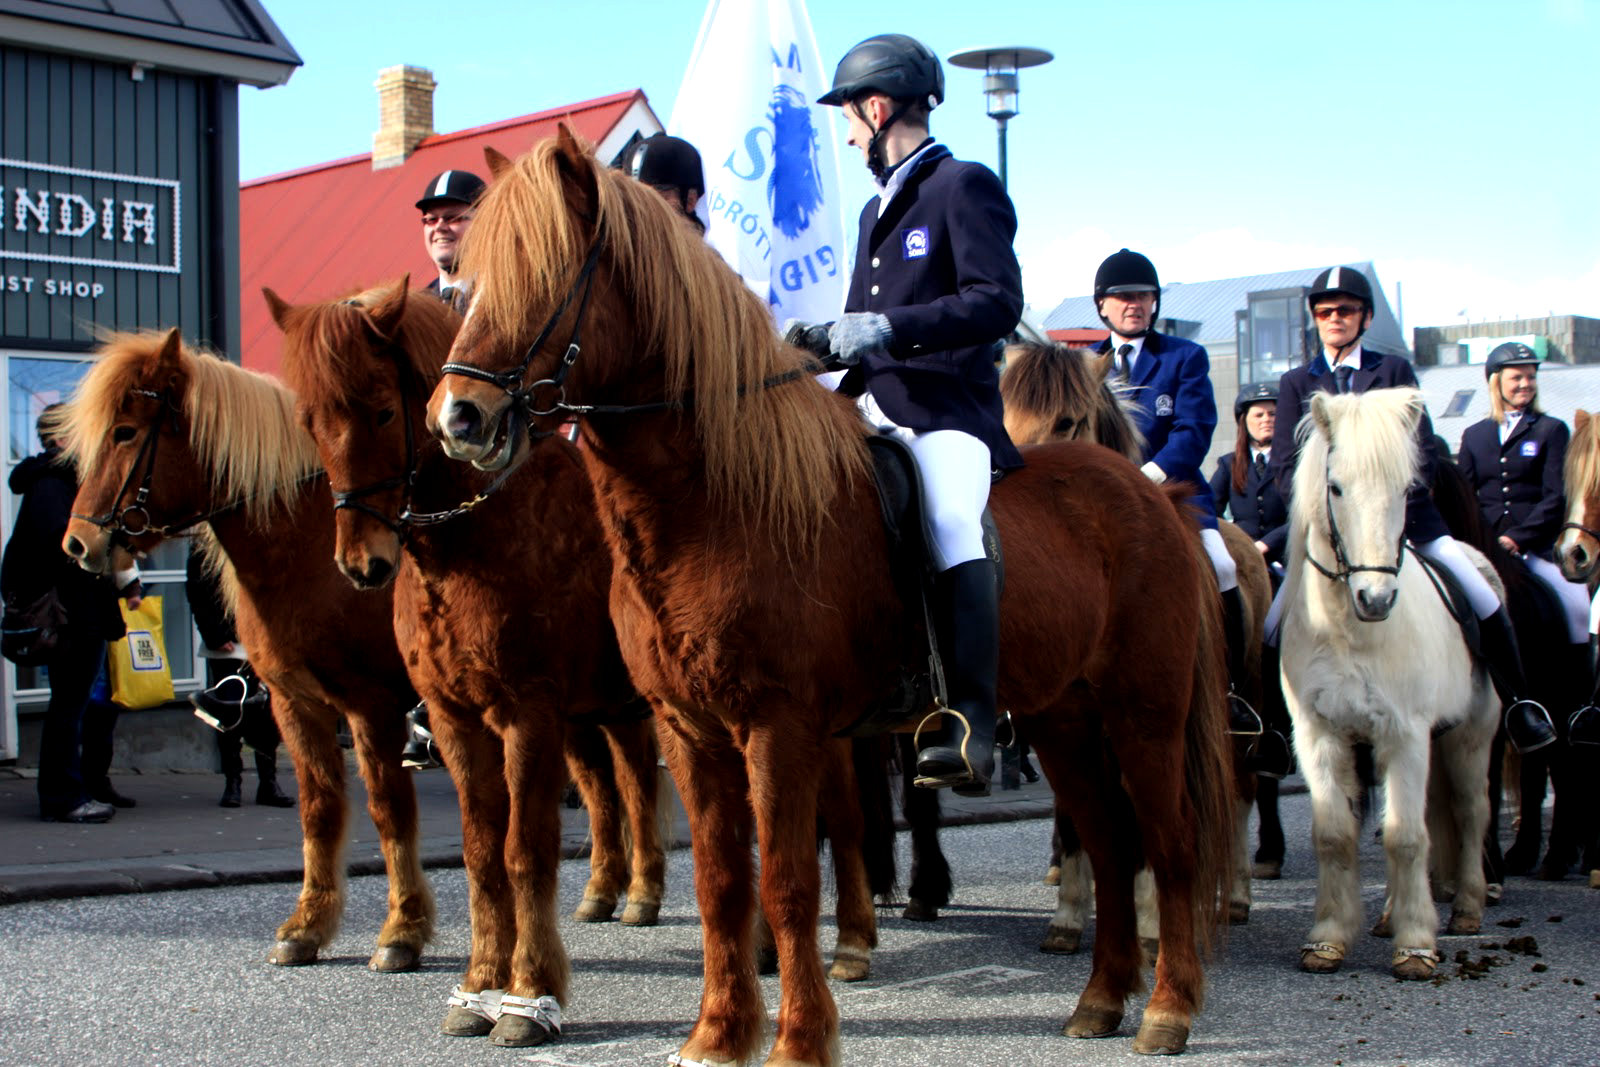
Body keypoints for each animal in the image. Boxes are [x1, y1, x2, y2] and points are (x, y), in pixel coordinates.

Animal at [59, 329, 432, 972]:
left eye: (125, 432)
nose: (78, 543)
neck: (311, 552)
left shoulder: (371, 707)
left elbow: (389, 810)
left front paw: (402, 930)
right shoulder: (295, 704)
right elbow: (319, 809)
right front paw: (307, 926)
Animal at [422, 129, 1222, 1062]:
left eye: (544, 274)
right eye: (466, 283)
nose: (458, 419)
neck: (712, 507)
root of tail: (1153, 493)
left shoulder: (780, 726)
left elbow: (790, 879)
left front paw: (800, 1038)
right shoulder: (690, 731)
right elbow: (724, 882)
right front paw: (718, 1031)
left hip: (1143, 713)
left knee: (1169, 843)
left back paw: (1169, 1009)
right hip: (1064, 717)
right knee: (1108, 837)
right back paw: (1099, 999)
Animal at [1273, 388, 1497, 979]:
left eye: (1406, 490)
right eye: (1335, 487)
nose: (1375, 599)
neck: (1348, 631)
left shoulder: (1406, 733)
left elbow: (1405, 836)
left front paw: (1416, 945)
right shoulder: (1320, 735)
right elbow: (1335, 835)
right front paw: (1329, 938)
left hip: (1470, 735)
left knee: (1470, 809)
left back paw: (1467, 907)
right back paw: (1389, 914)